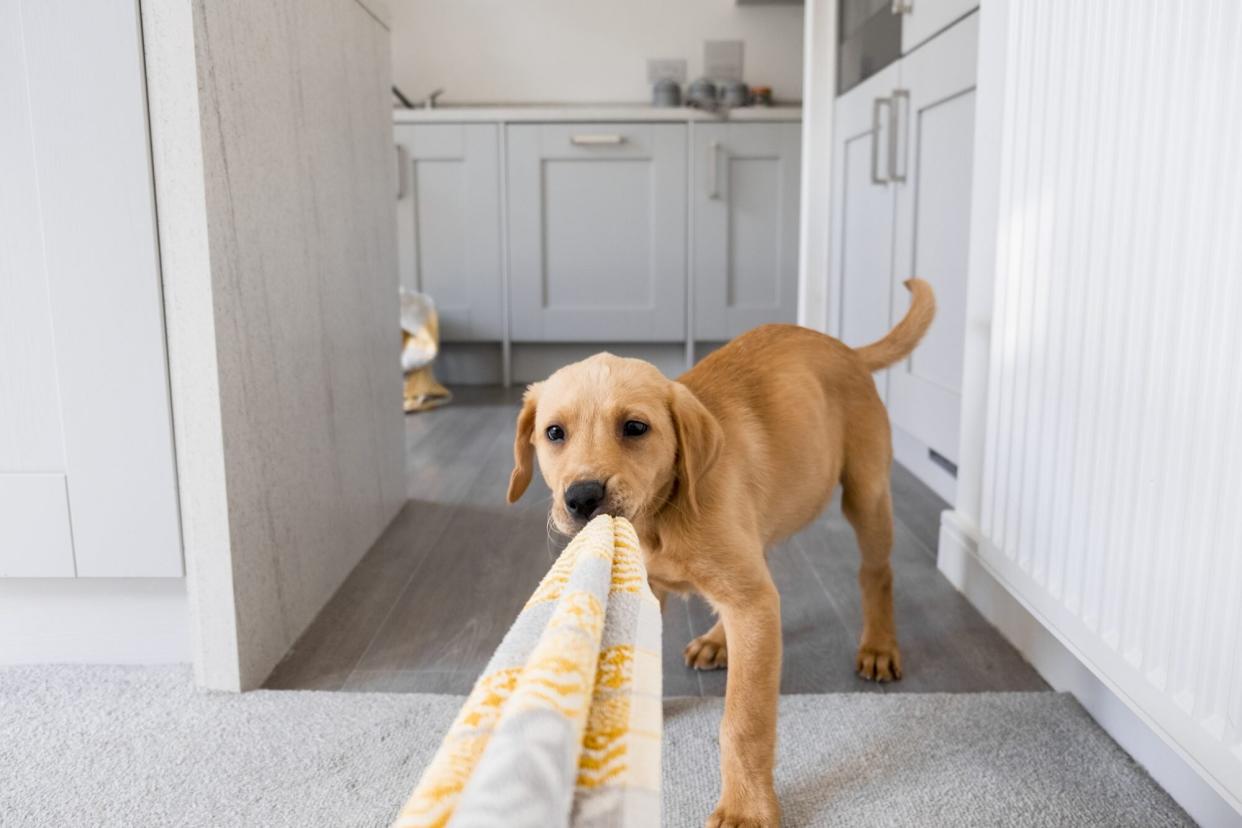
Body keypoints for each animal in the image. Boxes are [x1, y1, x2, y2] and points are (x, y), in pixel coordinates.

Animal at [504, 280, 933, 828]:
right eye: (554, 433)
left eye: (635, 428)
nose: (581, 498)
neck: (661, 517)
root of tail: (846, 350)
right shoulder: (659, 589)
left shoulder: (751, 605)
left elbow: (743, 722)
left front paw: (746, 807)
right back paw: (717, 640)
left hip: (866, 493)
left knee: (875, 573)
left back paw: (878, 645)